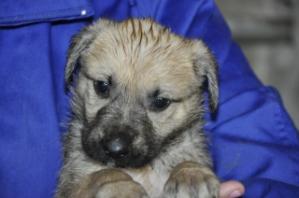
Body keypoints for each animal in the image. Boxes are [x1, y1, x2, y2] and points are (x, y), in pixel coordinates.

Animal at [56, 18, 220, 198]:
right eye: (102, 86)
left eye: (161, 102)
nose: (115, 149)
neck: (143, 169)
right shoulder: (70, 183)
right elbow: (101, 174)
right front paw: (120, 186)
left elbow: (187, 158)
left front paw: (191, 173)